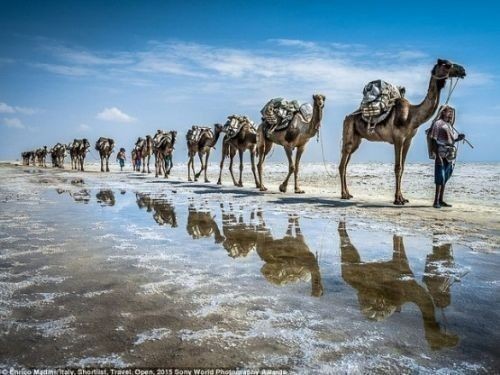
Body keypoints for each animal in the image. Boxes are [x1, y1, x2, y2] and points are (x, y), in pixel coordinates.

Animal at [338, 59, 466, 206]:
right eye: (447, 64)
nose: (462, 70)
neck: (412, 116)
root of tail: (347, 117)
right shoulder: (398, 138)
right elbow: (398, 167)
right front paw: (398, 199)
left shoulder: (408, 140)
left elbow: (403, 167)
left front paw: (403, 198)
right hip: (348, 132)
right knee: (342, 164)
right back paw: (344, 195)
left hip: (357, 140)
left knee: (346, 164)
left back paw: (348, 193)